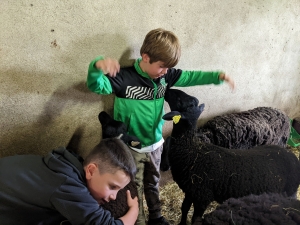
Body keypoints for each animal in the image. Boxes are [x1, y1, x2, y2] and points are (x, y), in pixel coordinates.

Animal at [163, 92, 300, 225]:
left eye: (181, 101)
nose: (167, 90)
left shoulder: (202, 196)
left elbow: (195, 218)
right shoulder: (191, 191)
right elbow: (184, 208)